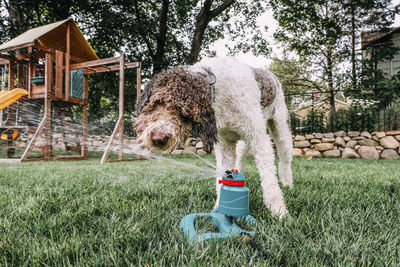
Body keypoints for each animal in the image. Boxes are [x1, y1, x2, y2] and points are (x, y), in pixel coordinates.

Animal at [135, 57, 294, 219]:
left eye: (184, 114)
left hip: (280, 129)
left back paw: (288, 184)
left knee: (285, 160)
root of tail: (271, 74)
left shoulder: (259, 139)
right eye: (156, 103)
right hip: (244, 140)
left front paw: (279, 212)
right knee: (241, 156)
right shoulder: (224, 144)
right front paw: (219, 208)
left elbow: (269, 179)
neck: (217, 91)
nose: (158, 139)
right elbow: (222, 177)